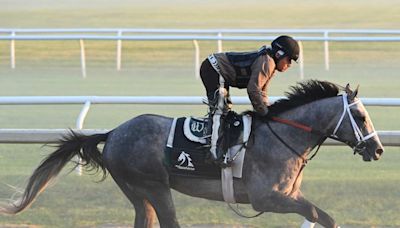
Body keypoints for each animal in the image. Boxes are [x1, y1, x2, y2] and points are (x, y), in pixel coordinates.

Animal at [0, 80, 384, 228]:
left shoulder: (289, 195)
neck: (283, 136)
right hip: (154, 185)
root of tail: (113, 133)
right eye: (361, 116)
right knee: (169, 221)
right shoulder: (267, 198)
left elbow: (322, 215)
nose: (378, 148)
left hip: (137, 192)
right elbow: (321, 215)